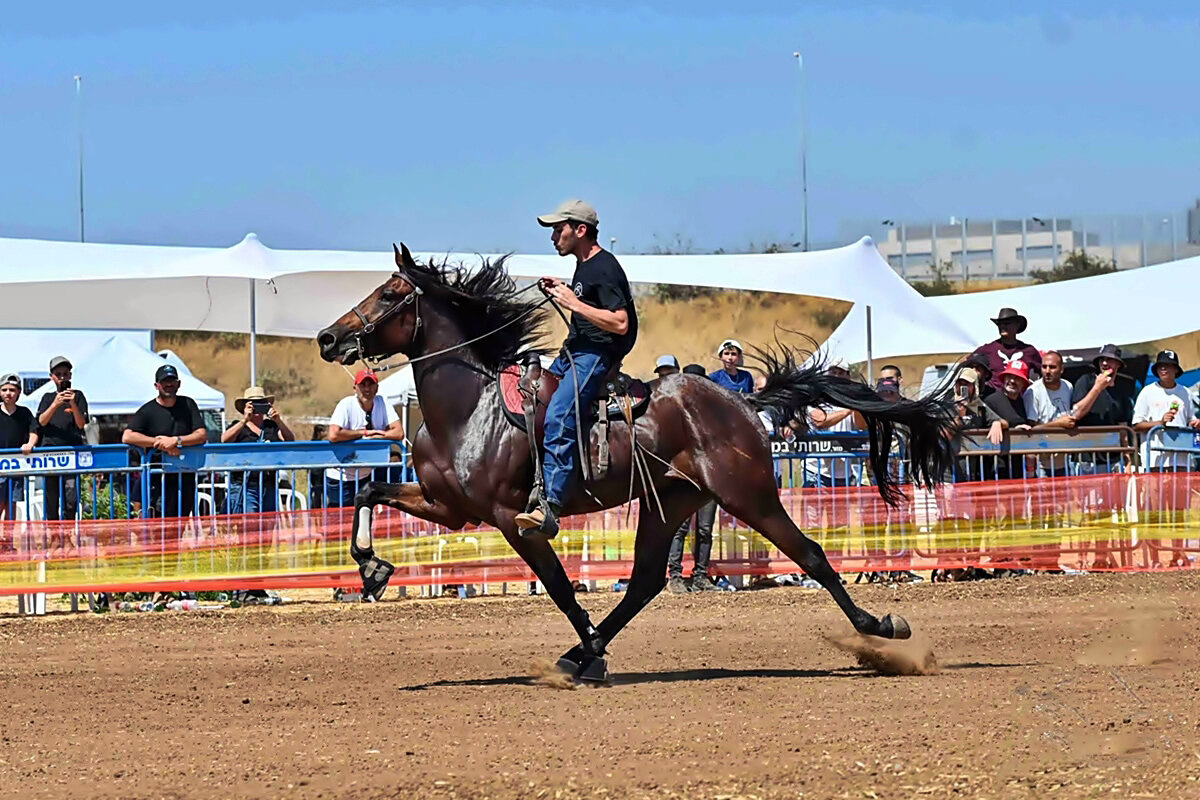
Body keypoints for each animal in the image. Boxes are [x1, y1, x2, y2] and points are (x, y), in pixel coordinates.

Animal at [319, 244, 955, 681]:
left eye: (389, 295)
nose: (327, 337)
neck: (472, 406)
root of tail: (742, 402)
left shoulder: (511, 518)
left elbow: (558, 585)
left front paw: (591, 656)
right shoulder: (449, 507)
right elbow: (366, 495)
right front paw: (371, 568)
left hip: (749, 494)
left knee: (813, 556)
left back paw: (880, 629)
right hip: (671, 502)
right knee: (647, 581)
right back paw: (580, 653)